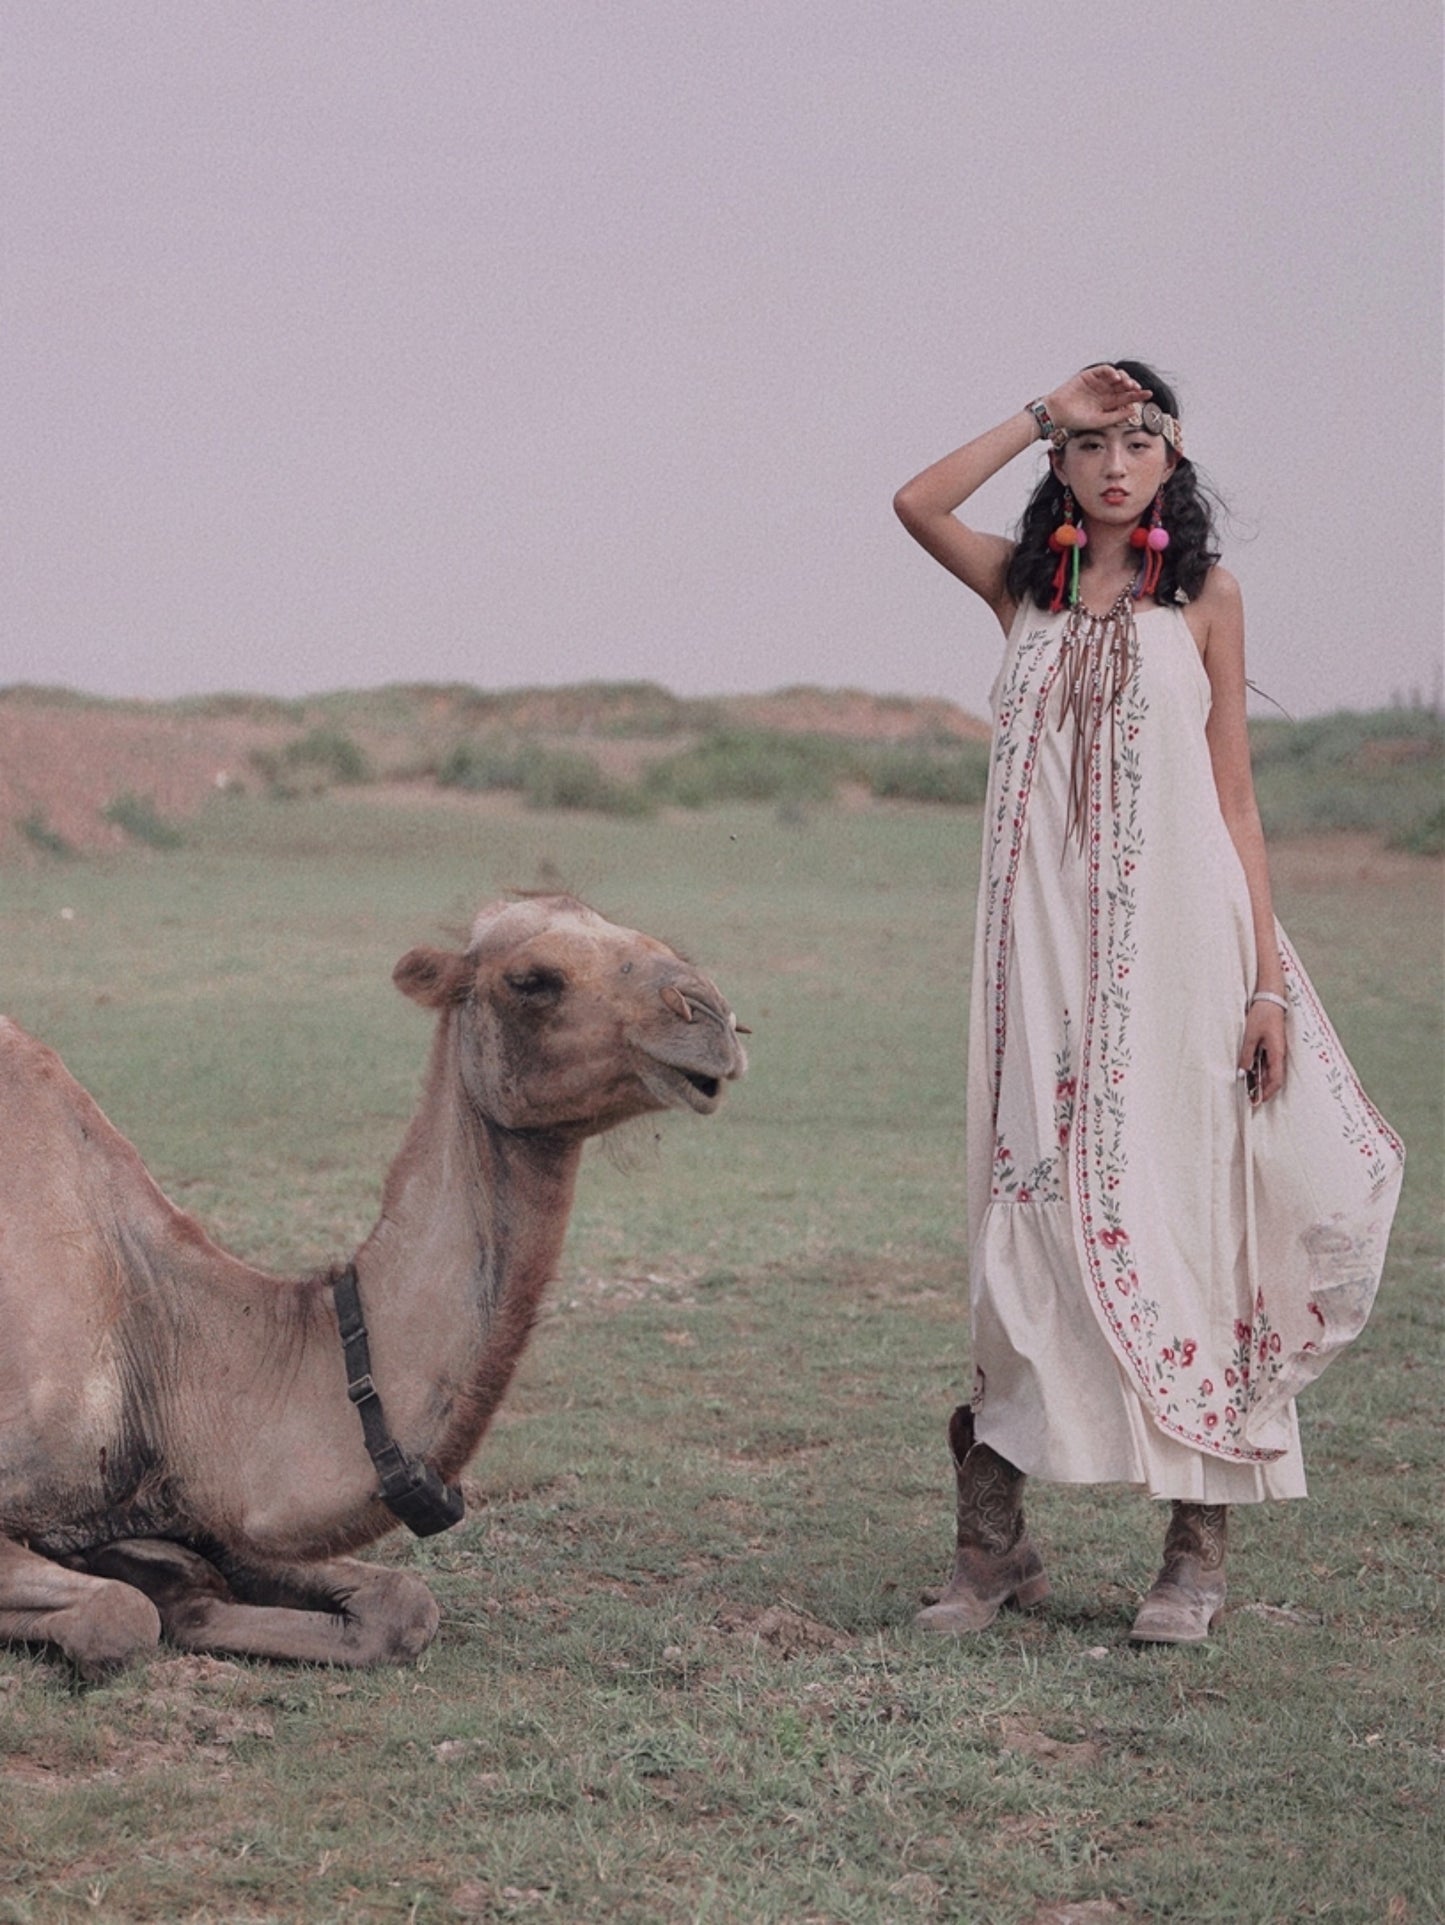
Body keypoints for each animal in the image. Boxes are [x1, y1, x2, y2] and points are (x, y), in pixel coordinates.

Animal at [0, 889, 746, 1670]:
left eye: (663, 942)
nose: (709, 1013)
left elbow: (401, 1601)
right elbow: (119, 1616)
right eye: (532, 979)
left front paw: (168, 1579)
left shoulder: (198, 1507)